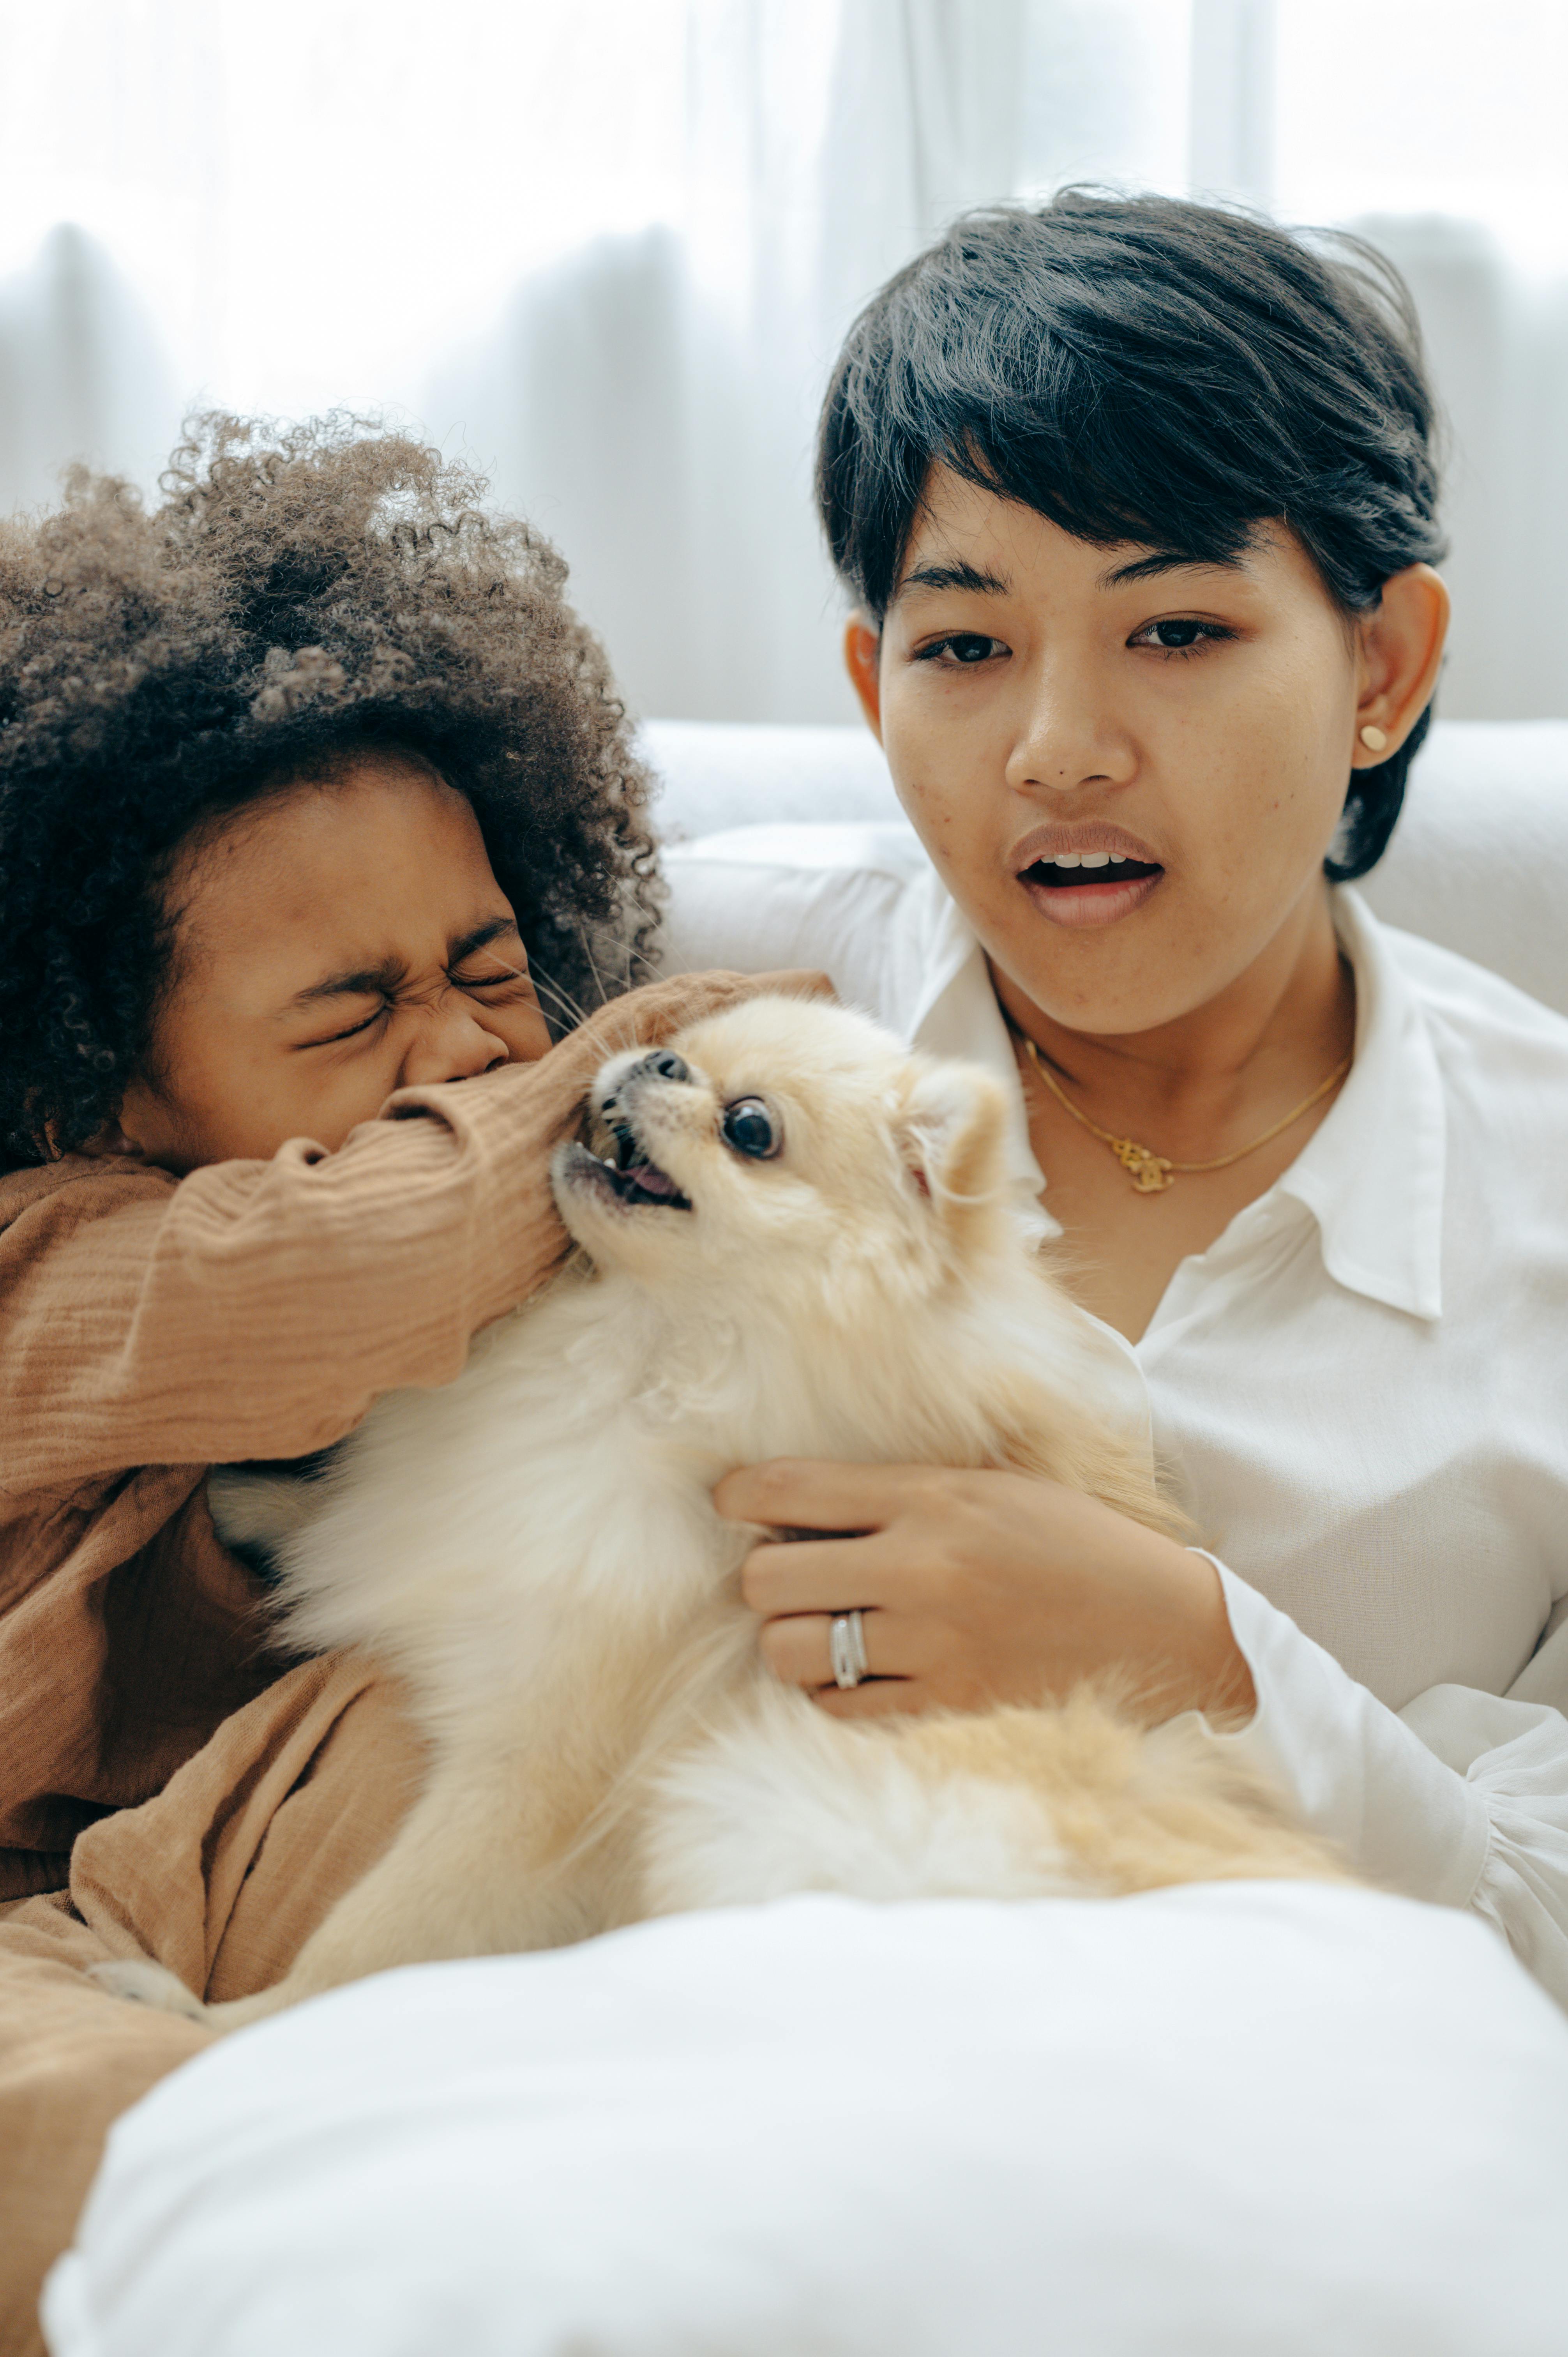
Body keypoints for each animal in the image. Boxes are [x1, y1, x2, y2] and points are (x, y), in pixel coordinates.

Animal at [107, 995, 1330, 2027]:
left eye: (750, 1128)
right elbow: (346, 1520)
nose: (651, 1059)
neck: (642, 1357)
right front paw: (250, 1497)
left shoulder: (539, 1775)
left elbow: (367, 1942)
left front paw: (207, 2021)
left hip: (758, 1803)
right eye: (681, 1053)